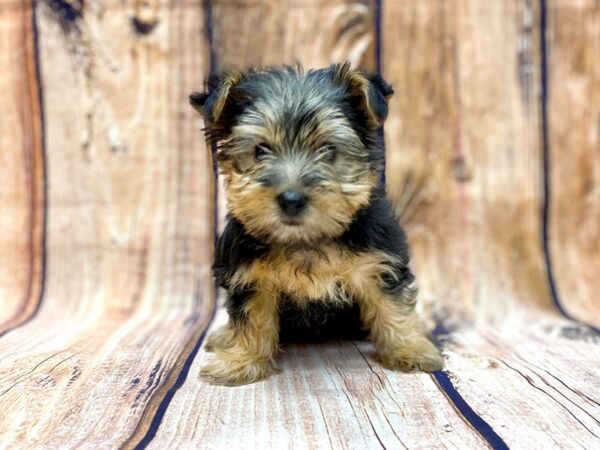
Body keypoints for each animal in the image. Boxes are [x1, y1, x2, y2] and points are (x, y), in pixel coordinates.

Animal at [190, 64, 442, 386]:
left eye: (329, 150)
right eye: (260, 150)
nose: (292, 199)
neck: (305, 239)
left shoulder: (378, 261)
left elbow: (391, 305)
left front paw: (408, 349)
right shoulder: (249, 275)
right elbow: (251, 318)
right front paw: (241, 361)